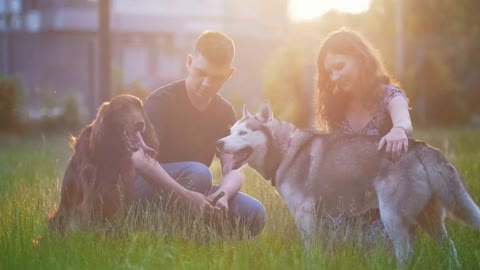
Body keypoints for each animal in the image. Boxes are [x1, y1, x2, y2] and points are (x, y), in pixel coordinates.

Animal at [217, 102, 480, 266]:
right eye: (230, 131)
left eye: (243, 133)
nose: (219, 143)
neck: (285, 151)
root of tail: (420, 146)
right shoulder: (318, 217)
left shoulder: (304, 213)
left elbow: (309, 248)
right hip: (429, 217)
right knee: (449, 246)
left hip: (393, 216)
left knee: (405, 251)